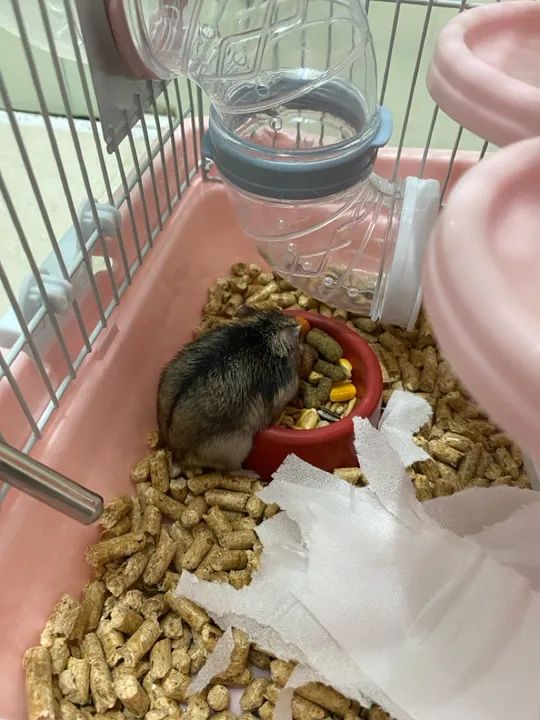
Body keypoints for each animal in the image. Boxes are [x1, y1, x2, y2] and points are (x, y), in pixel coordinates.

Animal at [157, 306, 302, 474]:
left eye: (277, 311)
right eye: (299, 339)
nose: (295, 321)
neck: (261, 335)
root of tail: (176, 452)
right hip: (240, 445)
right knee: (230, 470)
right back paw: (253, 474)